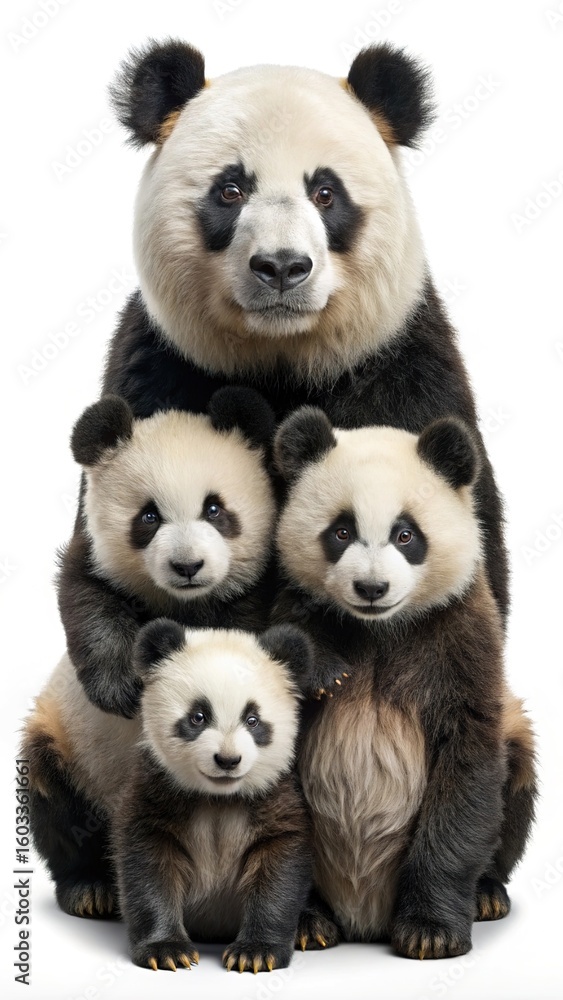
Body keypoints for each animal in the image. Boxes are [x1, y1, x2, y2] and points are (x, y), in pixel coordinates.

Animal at [23, 622, 316, 972]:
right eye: (198, 716)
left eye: (253, 720)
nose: (227, 760)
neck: (219, 799)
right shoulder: (155, 789)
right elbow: (148, 869)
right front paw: (166, 950)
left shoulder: (274, 798)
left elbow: (280, 868)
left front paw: (256, 952)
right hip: (68, 751)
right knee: (60, 811)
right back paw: (89, 890)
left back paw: (311, 925)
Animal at [25, 386, 279, 917]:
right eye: (148, 516)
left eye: (214, 509)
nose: (188, 566)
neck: (181, 601)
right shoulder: (95, 563)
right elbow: (87, 602)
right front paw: (121, 689)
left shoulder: (254, 590)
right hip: (65, 746)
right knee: (56, 805)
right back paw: (91, 888)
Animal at [97, 38, 508, 628]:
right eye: (230, 190)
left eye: (325, 193)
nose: (282, 266)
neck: (282, 355)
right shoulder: (164, 366)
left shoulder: (399, 366)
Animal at [271, 407, 537, 959]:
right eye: (341, 531)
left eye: (406, 535)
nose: (371, 588)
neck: (378, 628)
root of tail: (363, 921)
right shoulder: (289, 616)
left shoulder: (460, 636)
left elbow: (466, 774)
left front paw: (431, 932)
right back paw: (316, 920)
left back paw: (486, 895)